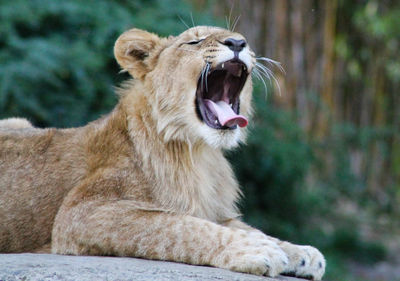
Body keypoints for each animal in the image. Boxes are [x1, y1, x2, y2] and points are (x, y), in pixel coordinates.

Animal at [0, 25, 324, 278]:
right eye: (194, 42)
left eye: (241, 38)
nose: (237, 43)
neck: (199, 153)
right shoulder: (81, 213)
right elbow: (179, 227)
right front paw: (255, 250)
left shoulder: (213, 209)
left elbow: (248, 227)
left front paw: (300, 253)